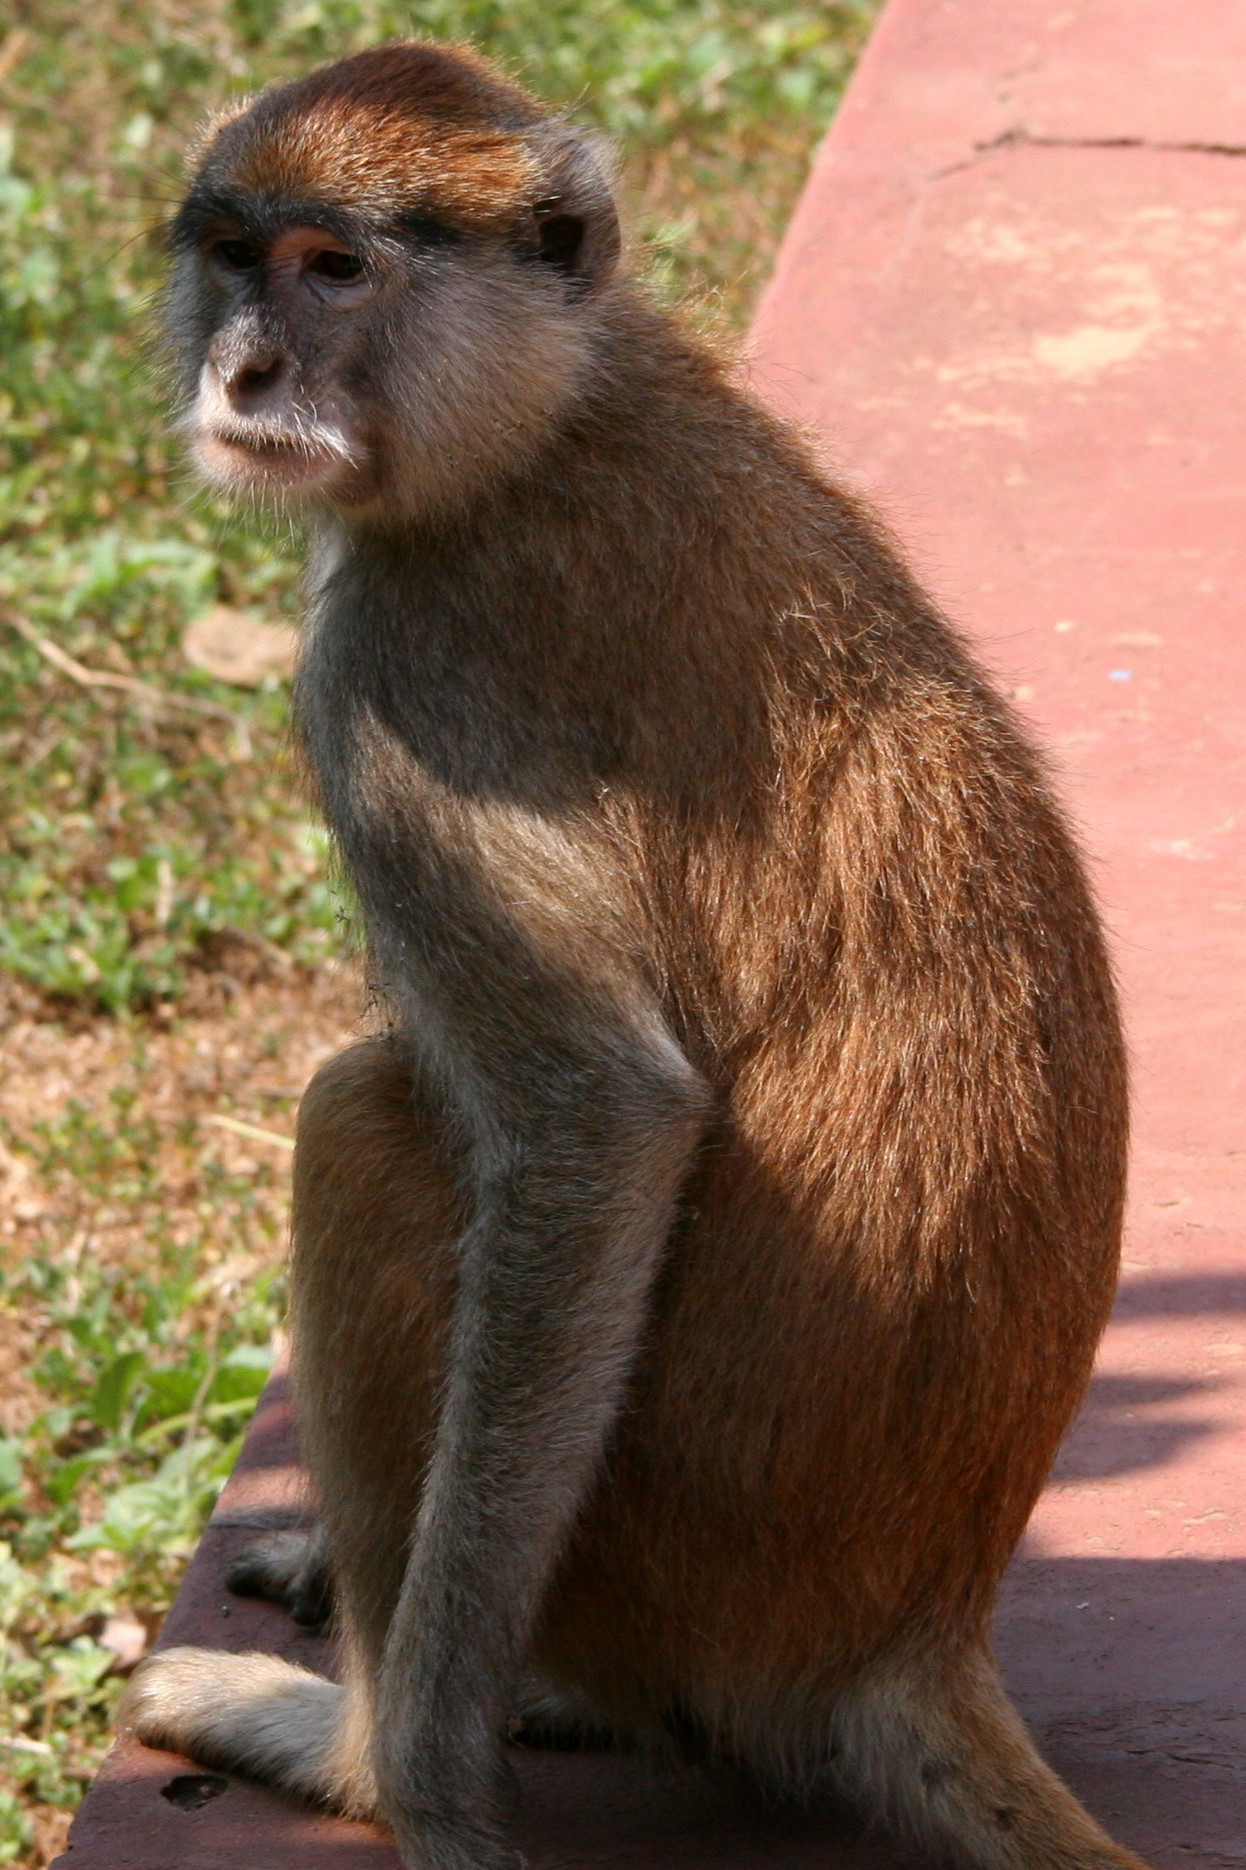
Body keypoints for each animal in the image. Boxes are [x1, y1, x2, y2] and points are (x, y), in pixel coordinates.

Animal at [123, 40, 1137, 1870]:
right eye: (236, 255)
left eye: (335, 268)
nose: (245, 370)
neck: (554, 411)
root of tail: (904, 1627)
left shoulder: (389, 676)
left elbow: (602, 1117)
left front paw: (414, 1779)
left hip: (653, 1553)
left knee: (359, 1120)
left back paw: (353, 1742)